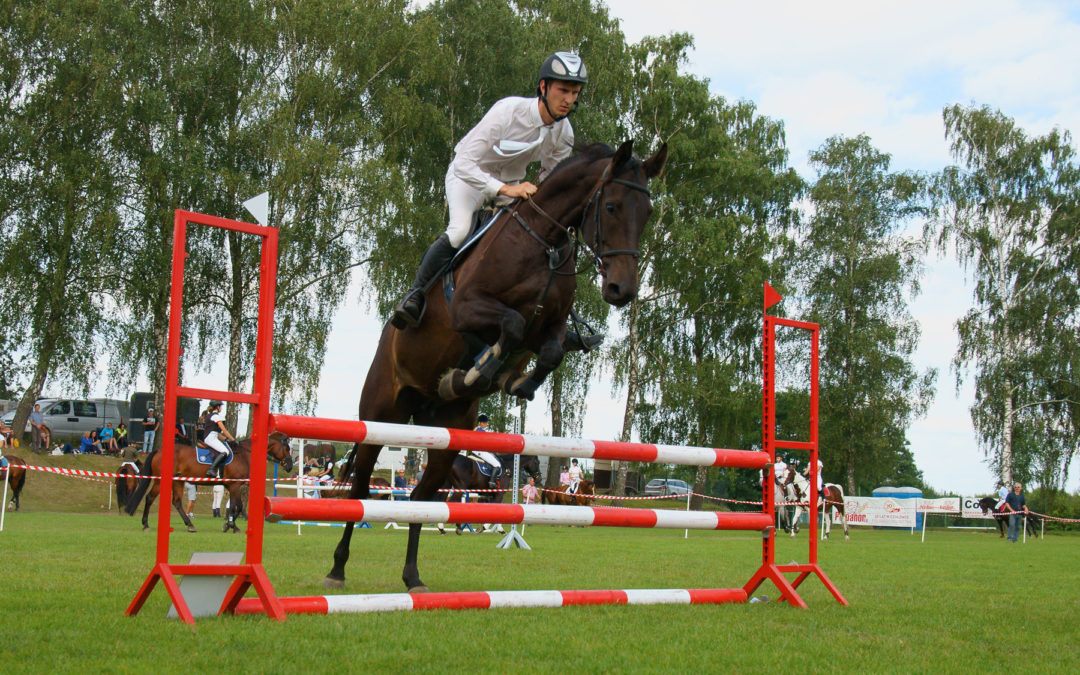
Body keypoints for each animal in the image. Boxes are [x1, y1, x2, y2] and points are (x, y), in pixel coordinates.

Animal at [124, 432, 293, 531]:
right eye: (287, 449)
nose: (290, 466)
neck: (244, 454)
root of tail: (159, 450)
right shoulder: (235, 485)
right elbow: (237, 506)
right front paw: (232, 526)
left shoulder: (231, 486)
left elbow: (234, 506)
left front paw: (228, 525)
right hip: (161, 481)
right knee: (150, 498)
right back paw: (146, 524)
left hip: (178, 481)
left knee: (177, 501)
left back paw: (190, 525)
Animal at [324, 140, 665, 587]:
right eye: (611, 207)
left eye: (648, 212)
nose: (621, 289)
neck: (544, 243)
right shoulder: (469, 309)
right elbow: (511, 325)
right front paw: (479, 370)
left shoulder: (552, 327)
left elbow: (550, 350)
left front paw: (511, 381)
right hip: (381, 415)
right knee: (361, 488)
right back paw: (337, 568)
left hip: (447, 433)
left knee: (421, 498)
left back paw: (413, 577)